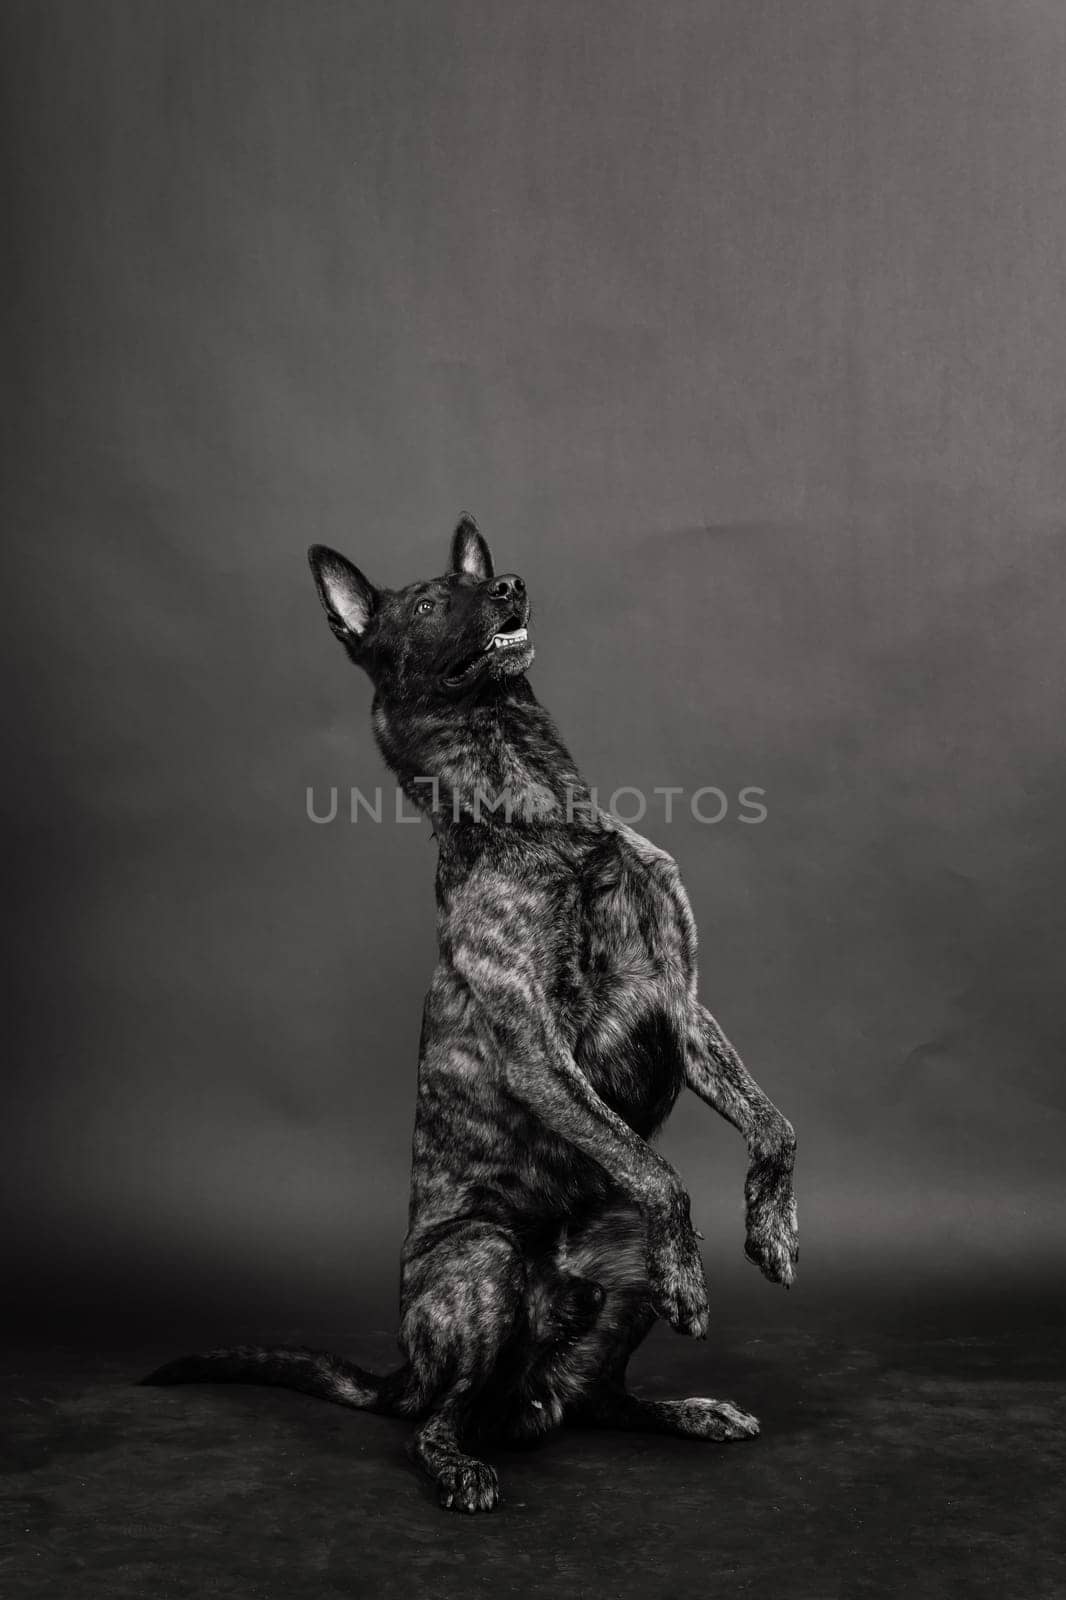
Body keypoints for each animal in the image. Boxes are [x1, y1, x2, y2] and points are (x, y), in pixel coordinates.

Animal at [147, 515, 797, 1510]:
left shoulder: (684, 1009)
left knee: (597, 1397)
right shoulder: (538, 1048)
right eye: (423, 606)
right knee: (437, 1421)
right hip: (483, 1264)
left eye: (464, 583)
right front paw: (696, 1278)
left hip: (616, 1266)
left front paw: (772, 1230)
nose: (510, 586)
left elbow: (773, 1127)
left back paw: (687, 1412)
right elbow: (661, 1173)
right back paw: (461, 1463)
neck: (541, 813)